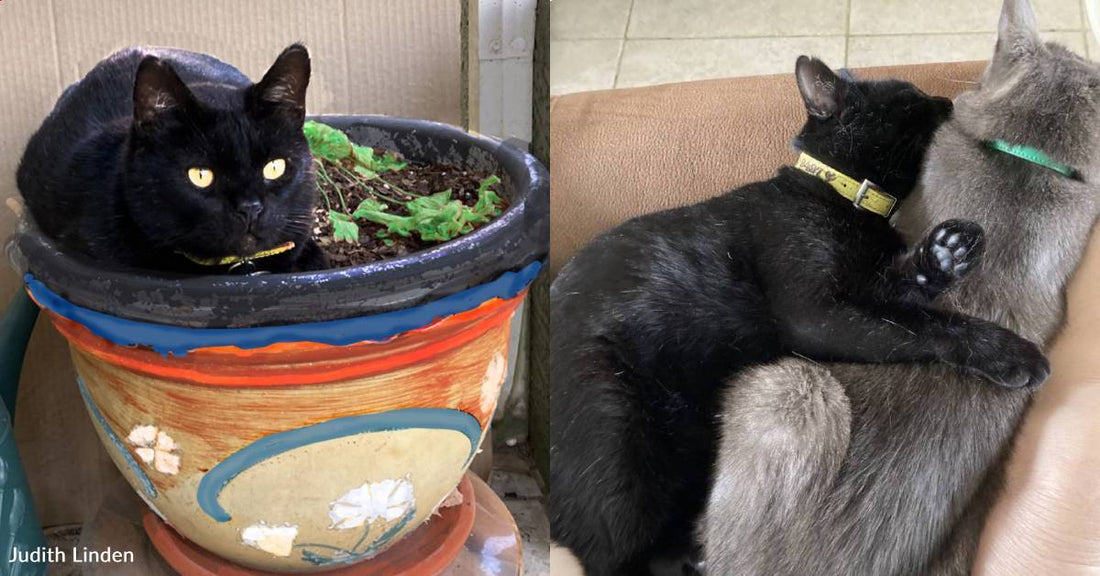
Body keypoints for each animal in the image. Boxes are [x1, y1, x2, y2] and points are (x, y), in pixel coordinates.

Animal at [550, 57, 1047, 576]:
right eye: (909, 96)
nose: (943, 100)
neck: (840, 195)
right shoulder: (818, 315)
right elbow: (923, 325)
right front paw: (1010, 353)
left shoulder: (868, 290)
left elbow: (908, 294)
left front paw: (945, 255)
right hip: (617, 433)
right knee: (616, 555)